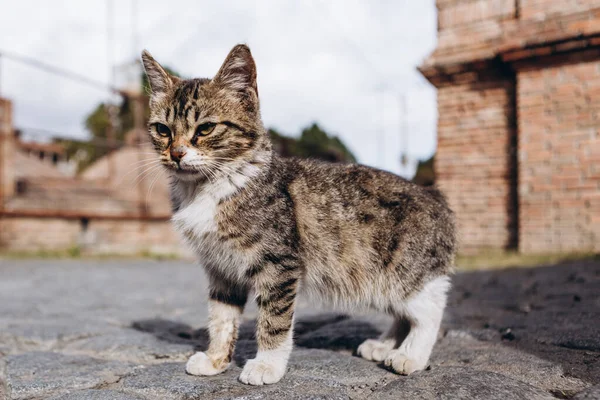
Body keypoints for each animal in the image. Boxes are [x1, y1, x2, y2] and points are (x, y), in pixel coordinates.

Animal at [141, 45, 458, 386]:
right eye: (162, 130)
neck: (208, 189)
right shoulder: (219, 267)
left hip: (404, 272)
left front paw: (267, 365)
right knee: (402, 312)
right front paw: (216, 360)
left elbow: (273, 320)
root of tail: (435, 195)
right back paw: (383, 345)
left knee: (428, 310)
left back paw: (409, 355)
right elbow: (221, 317)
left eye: (205, 128)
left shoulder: (279, 264)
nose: (176, 154)